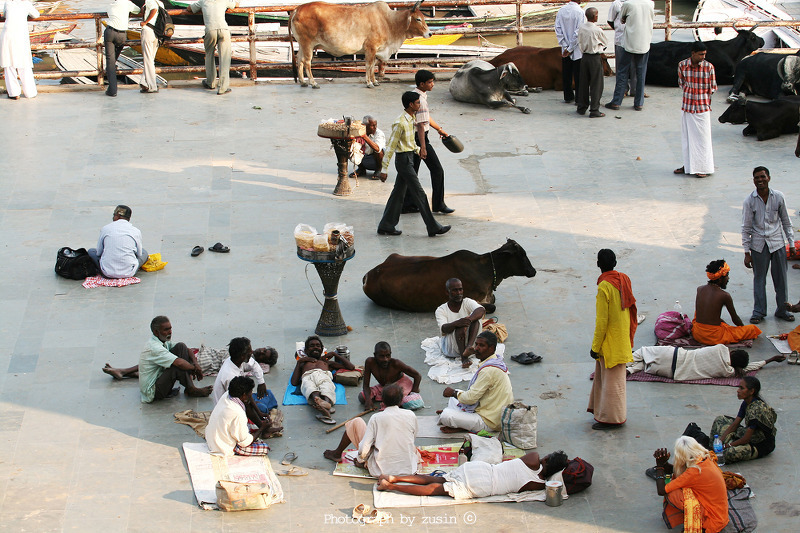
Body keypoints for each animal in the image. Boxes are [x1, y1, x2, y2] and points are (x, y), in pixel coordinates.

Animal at [290, 0, 432, 89]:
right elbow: (369, 65)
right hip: (308, 43)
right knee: (307, 62)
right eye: (418, 19)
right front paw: (369, 83)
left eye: (423, 18)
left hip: (302, 44)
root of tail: (297, 9)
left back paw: (303, 82)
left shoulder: (375, 50)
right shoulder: (371, 48)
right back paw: (313, 83)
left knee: (299, 60)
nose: (430, 33)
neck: (389, 22)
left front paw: (375, 81)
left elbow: (373, 65)